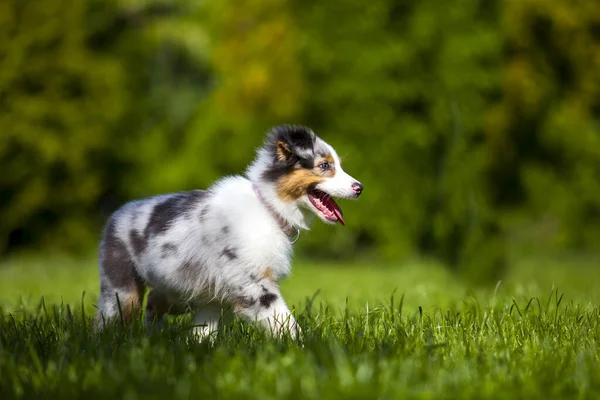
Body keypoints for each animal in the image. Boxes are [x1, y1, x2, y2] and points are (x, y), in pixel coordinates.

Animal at [96, 124, 364, 338]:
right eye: (324, 166)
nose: (360, 188)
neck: (268, 207)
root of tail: (119, 212)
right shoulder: (253, 284)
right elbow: (285, 322)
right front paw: (306, 349)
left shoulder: (218, 296)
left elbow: (204, 330)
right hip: (121, 287)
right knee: (111, 315)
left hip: (174, 288)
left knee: (153, 303)